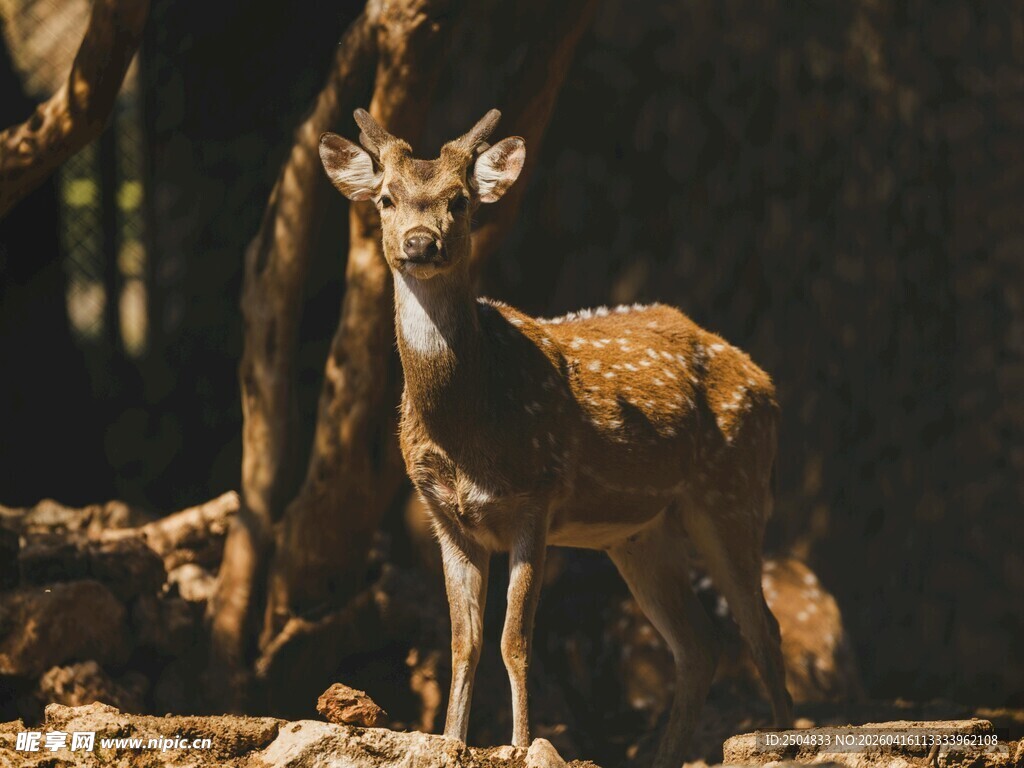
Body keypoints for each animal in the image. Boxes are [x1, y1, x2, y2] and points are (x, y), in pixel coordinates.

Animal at [318, 108, 793, 768]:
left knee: (760, 627)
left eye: (460, 201)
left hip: (735, 489)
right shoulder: (444, 516)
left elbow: (513, 639)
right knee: (699, 644)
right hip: (641, 531)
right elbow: (462, 642)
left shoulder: (535, 498)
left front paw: (520, 743)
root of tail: (765, 381)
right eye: (386, 199)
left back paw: (781, 742)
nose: (419, 243)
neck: (467, 429)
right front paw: (450, 740)